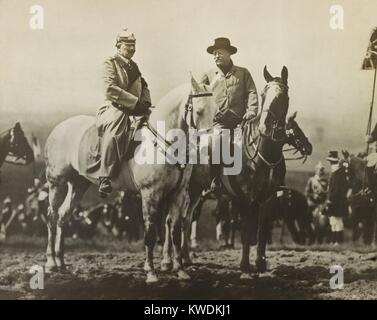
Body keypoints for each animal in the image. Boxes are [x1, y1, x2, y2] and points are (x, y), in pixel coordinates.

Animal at [43, 77, 214, 282]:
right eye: (199, 111)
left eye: (216, 110)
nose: (209, 144)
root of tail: (59, 128)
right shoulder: (150, 194)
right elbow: (150, 233)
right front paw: (151, 273)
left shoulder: (178, 194)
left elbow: (174, 230)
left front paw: (180, 270)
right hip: (57, 183)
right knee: (52, 216)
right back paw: (51, 262)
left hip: (78, 185)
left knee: (63, 217)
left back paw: (60, 262)